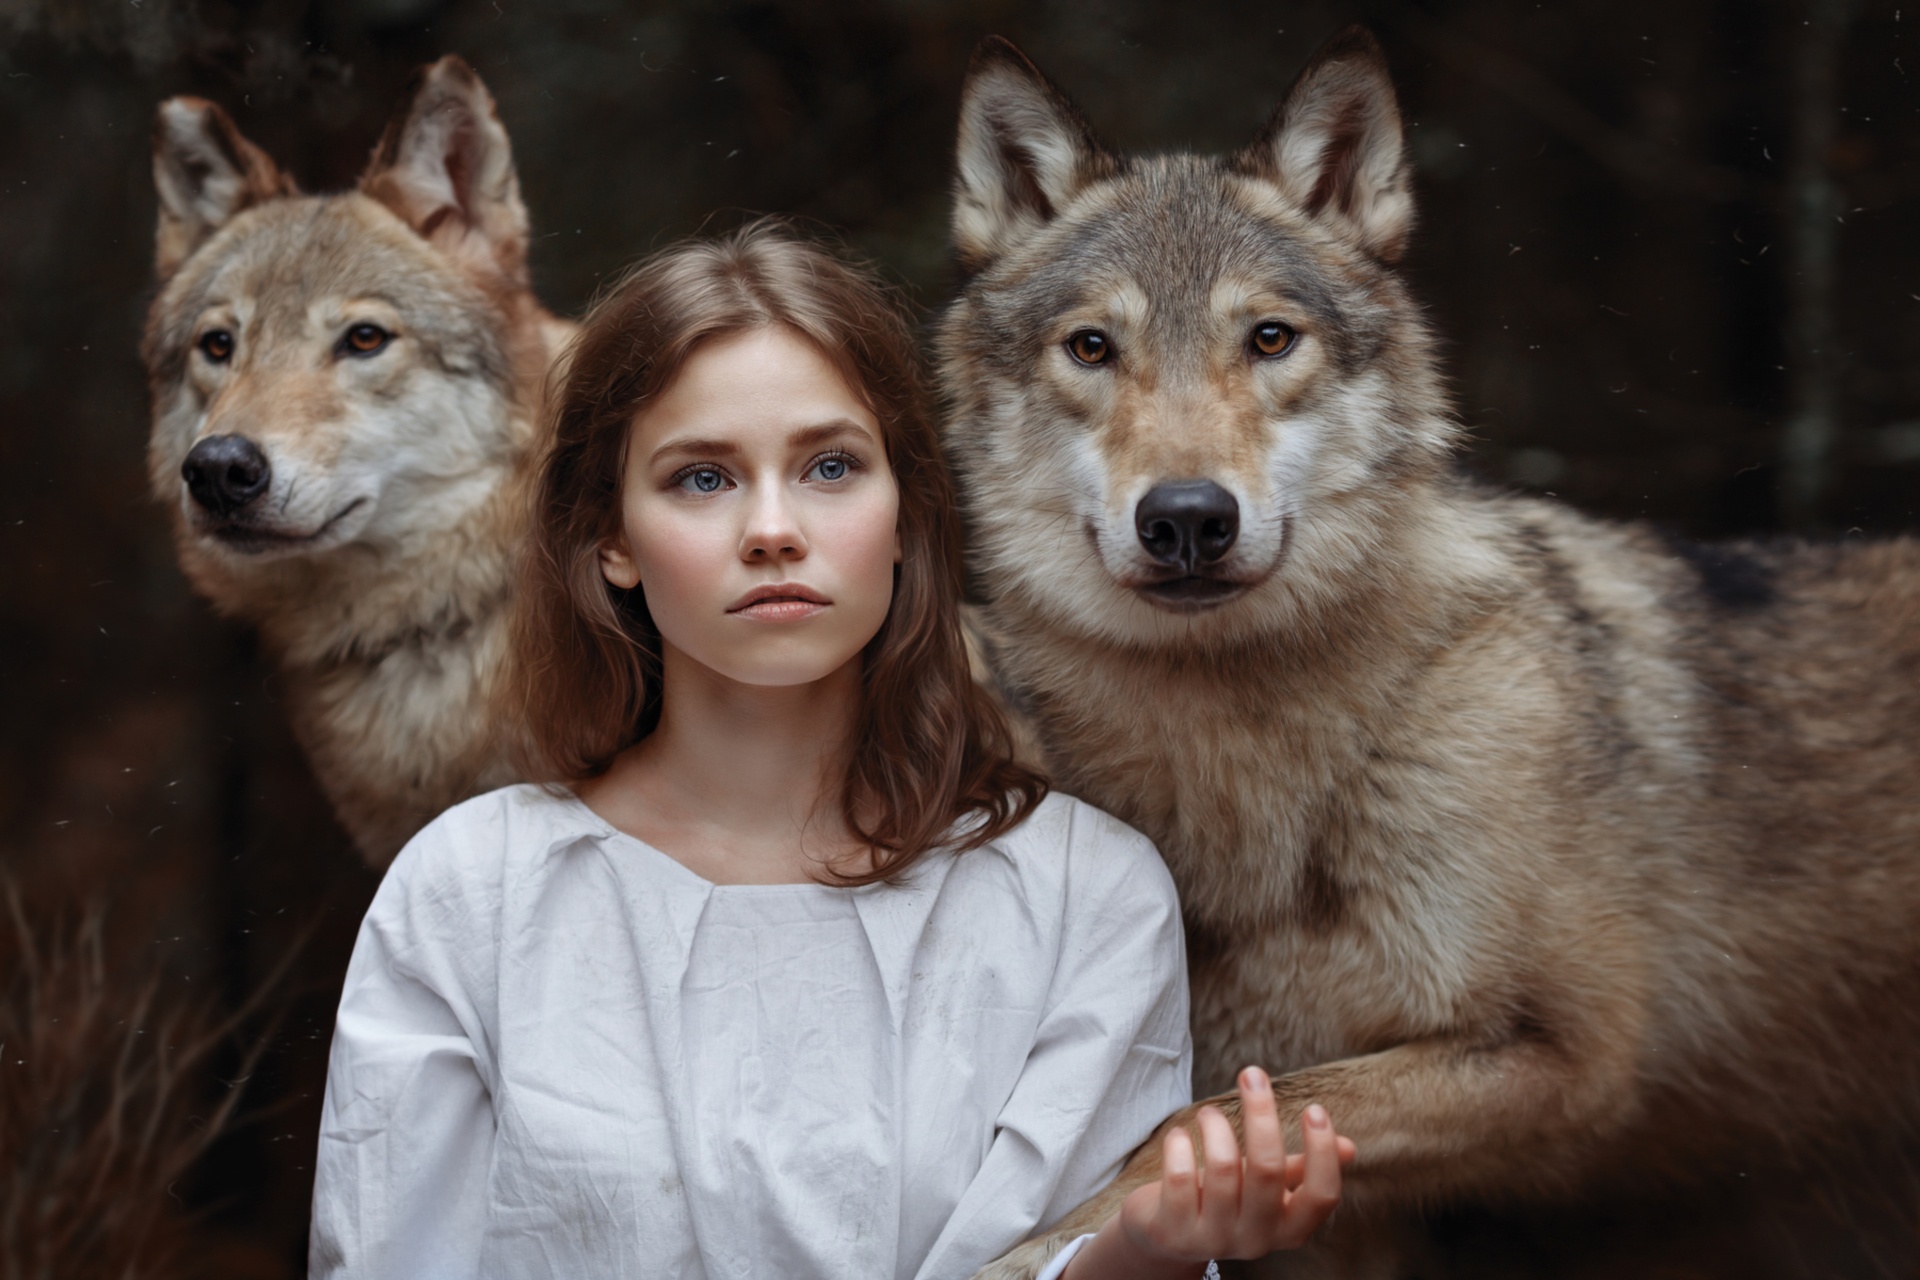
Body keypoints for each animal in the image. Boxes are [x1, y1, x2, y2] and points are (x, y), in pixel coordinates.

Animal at [948, 25, 1920, 1274]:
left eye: (1270, 338)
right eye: (1091, 347)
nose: (1188, 518)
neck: (1262, 762)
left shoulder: (1564, 1058)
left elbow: (1182, 1130)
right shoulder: (1347, 1207)